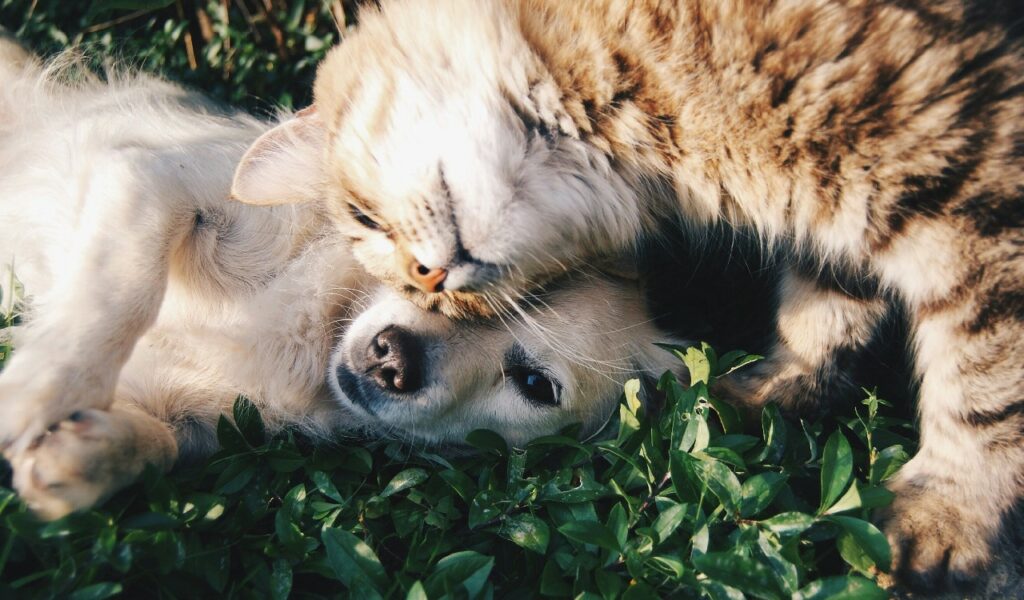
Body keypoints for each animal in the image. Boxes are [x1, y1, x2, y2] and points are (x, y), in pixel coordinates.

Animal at [232, 0, 1024, 589]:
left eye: (363, 219)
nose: (429, 282)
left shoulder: (975, 194)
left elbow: (984, 386)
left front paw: (948, 518)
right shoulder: (839, 223)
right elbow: (824, 311)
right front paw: (772, 393)